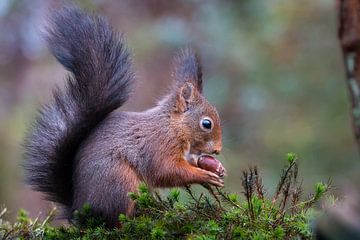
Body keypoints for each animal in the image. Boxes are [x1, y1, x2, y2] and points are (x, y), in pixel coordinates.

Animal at [23, 6, 225, 226]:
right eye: (207, 123)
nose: (218, 150)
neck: (172, 126)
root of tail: (80, 211)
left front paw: (216, 168)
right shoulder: (158, 145)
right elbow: (167, 171)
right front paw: (203, 175)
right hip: (120, 181)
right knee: (116, 220)